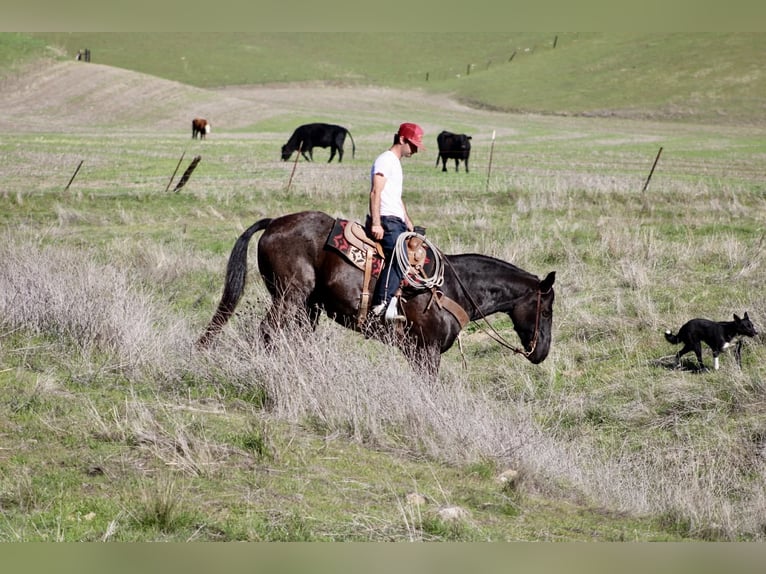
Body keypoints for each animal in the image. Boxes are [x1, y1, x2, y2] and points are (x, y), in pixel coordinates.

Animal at [197, 210, 556, 378]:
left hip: (309, 307)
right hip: (290, 296)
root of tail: (274, 223)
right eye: (547, 311)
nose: (541, 353)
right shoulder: (427, 353)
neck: (451, 288)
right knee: (269, 332)